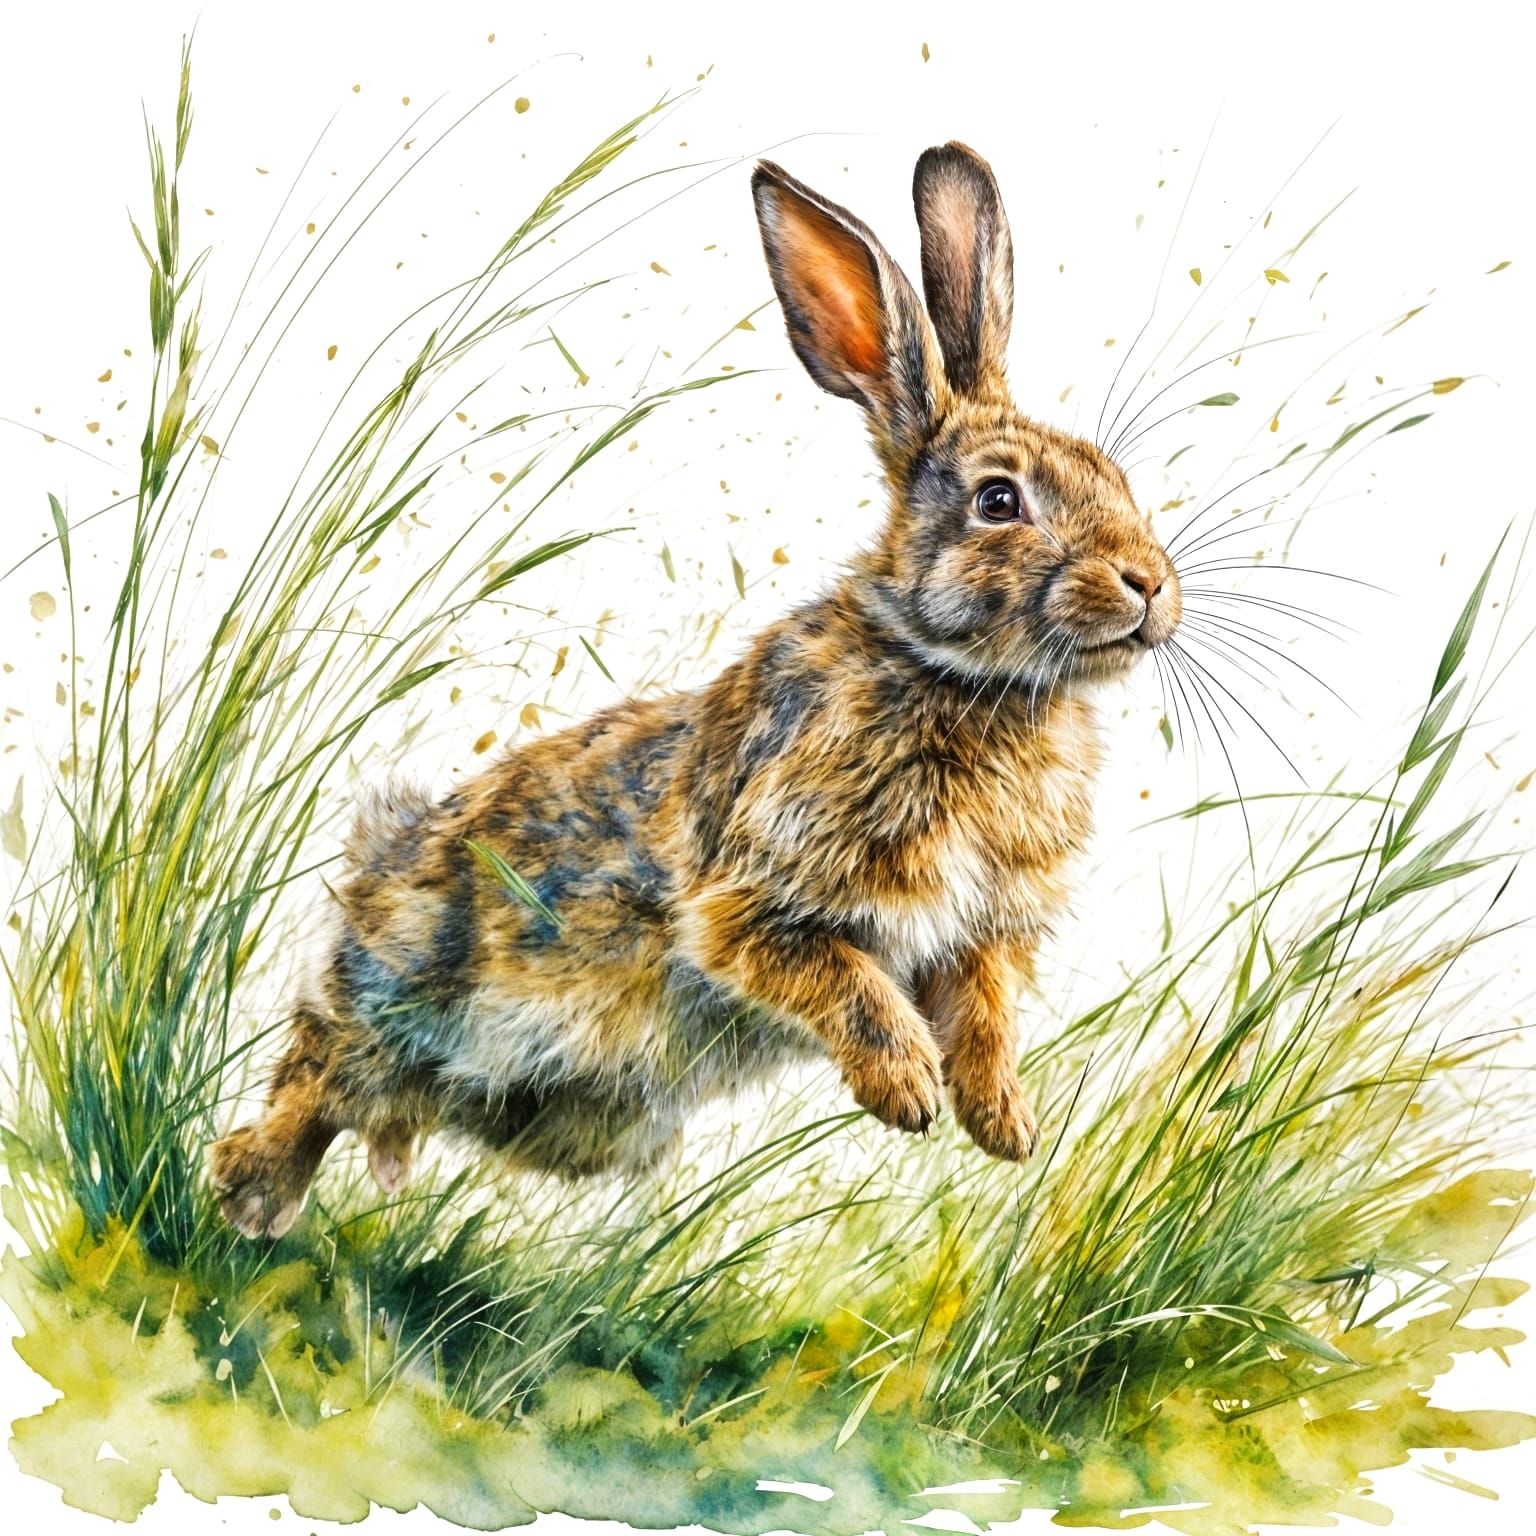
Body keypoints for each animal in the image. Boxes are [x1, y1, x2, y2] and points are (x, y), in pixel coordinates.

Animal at [210, 141, 1182, 1239]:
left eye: (1119, 480)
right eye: (999, 501)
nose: (1149, 584)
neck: (964, 678)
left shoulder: (979, 934)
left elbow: (984, 1017)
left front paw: (1003, 1122)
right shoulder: (753, 899)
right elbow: (847, 983)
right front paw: (908, 1093)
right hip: (402, 989)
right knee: (316, 1072)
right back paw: (248, 1194)